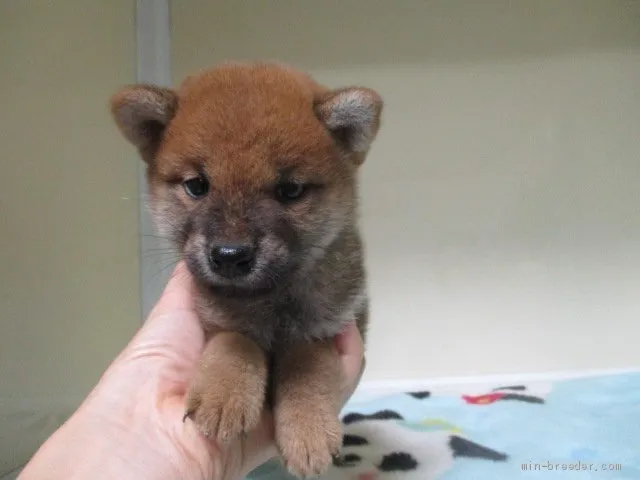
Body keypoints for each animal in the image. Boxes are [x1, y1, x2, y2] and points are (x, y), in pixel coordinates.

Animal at [109, 62, 384, 476]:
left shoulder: (330, 325)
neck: (270, 301)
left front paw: (308, 429)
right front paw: (224, 395)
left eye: (290, 190)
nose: (229, 255)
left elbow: (307, 365)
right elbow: (235, 342)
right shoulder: (215, 319)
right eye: (197, 185)